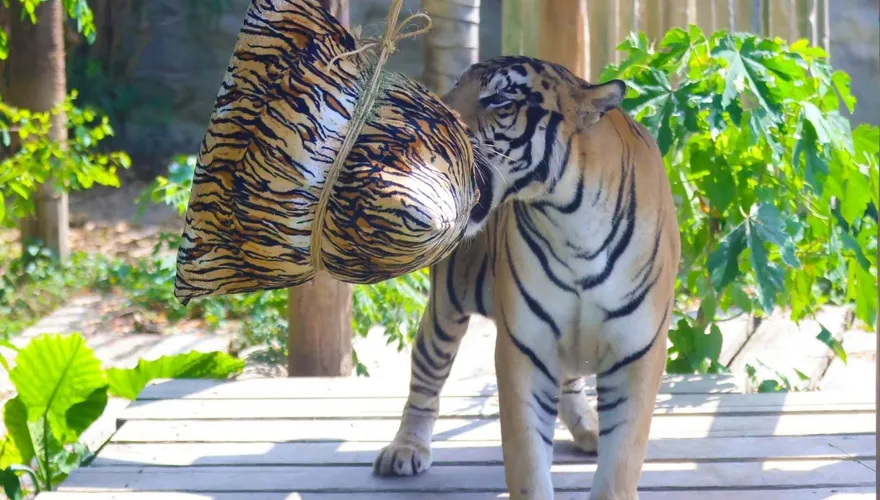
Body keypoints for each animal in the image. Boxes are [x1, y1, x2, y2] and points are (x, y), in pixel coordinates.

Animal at [372, 55, 681, 500]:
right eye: (456, 86)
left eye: (500, 99)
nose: (424, 119)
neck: (571, 221)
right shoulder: (525, 347)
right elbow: (527, 459)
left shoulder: (637, 352)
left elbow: (621, 461)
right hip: (447, 305)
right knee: (427, 375)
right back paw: (406, 448)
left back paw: (588, 429)